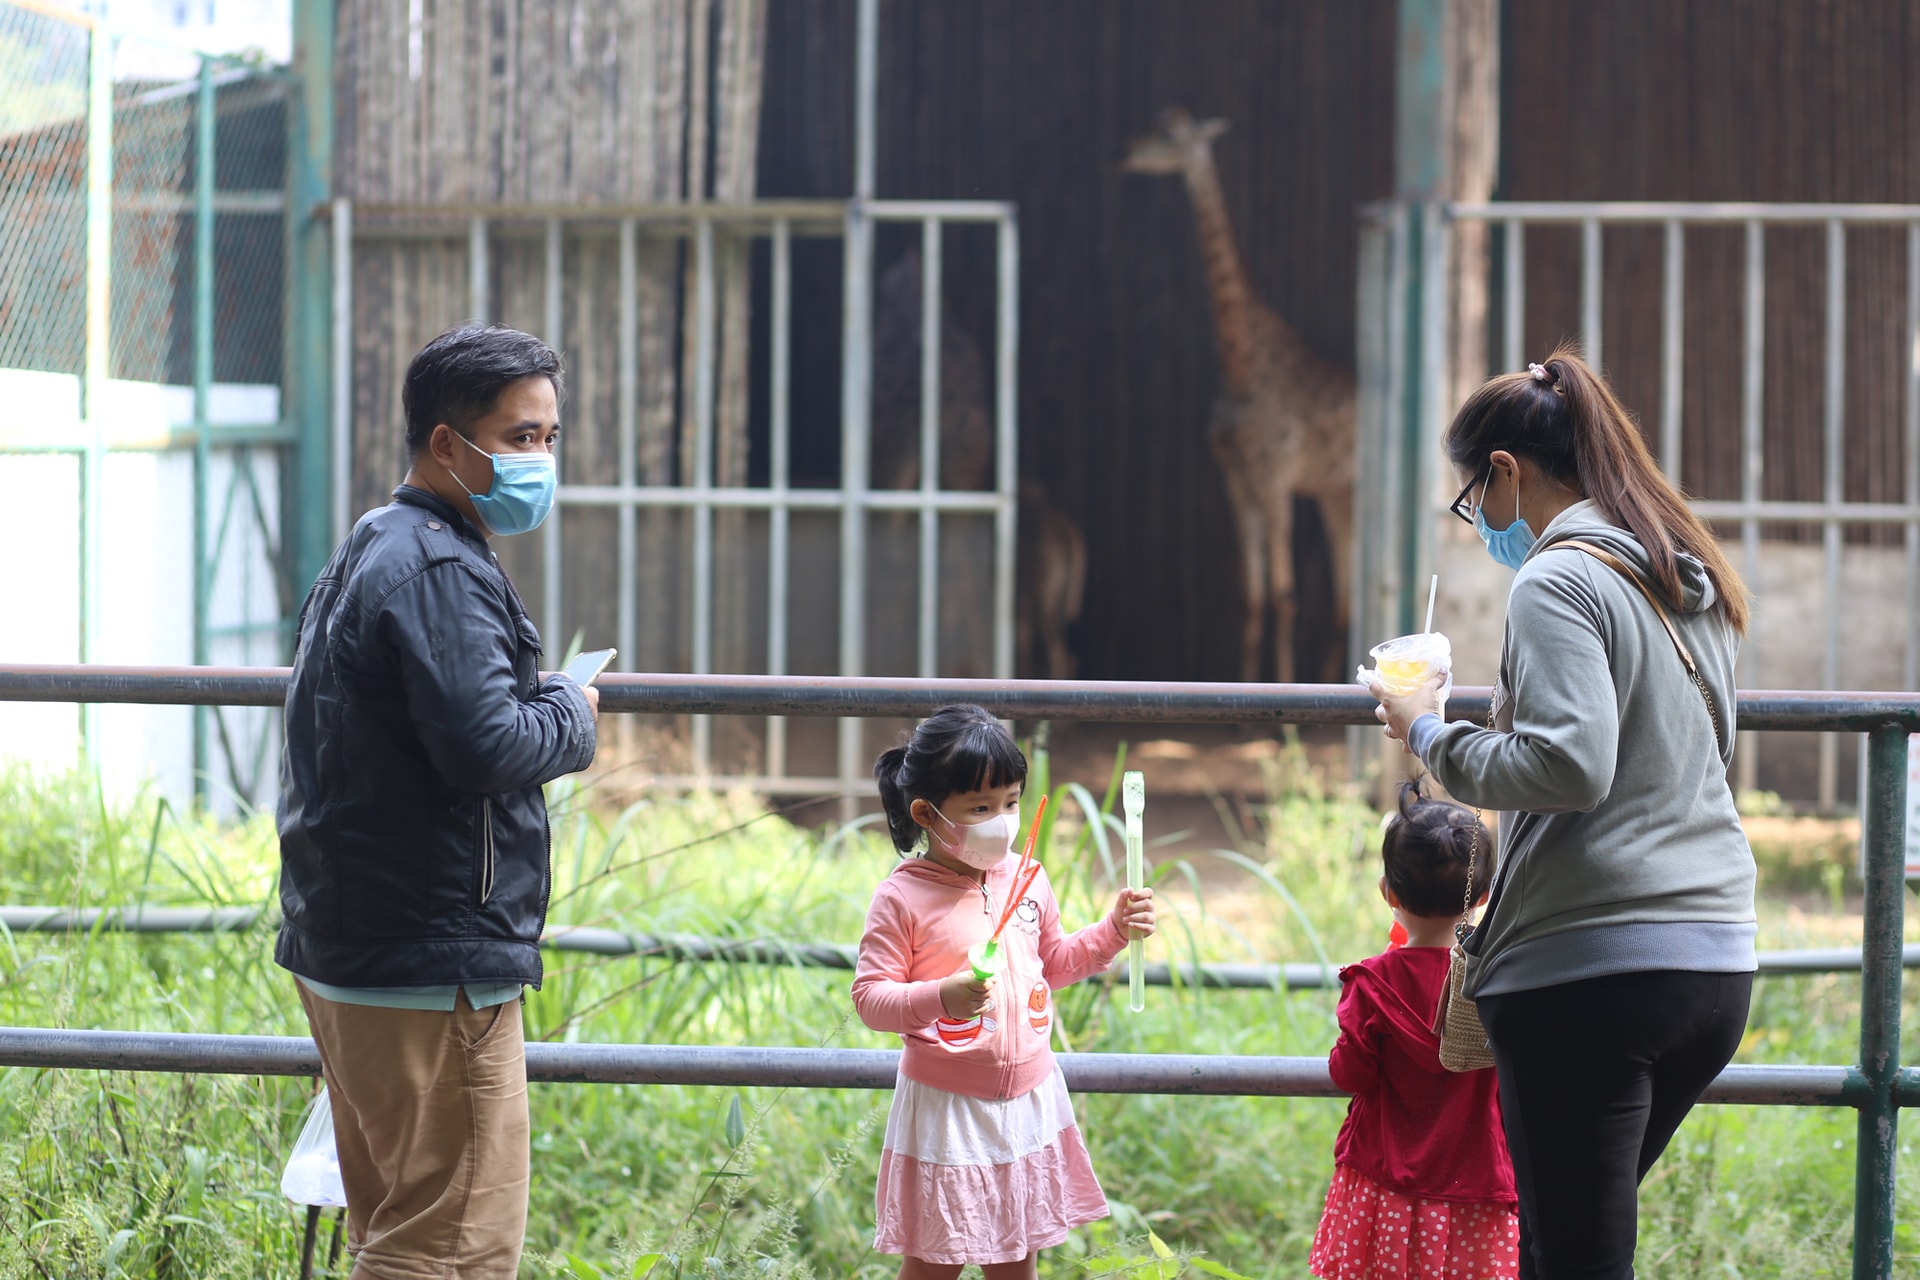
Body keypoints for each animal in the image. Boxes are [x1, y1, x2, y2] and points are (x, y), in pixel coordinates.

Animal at [1121, 107, 1359, 690]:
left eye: (1170, 135)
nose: (1125, 154)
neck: (1240, 362)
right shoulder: (1236, 479)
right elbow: (1252, 596)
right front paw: (1244, 691)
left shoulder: (1273, 478)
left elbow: (1285, 594)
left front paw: (1283, 695)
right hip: (1334, 491)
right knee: (1343, 591)